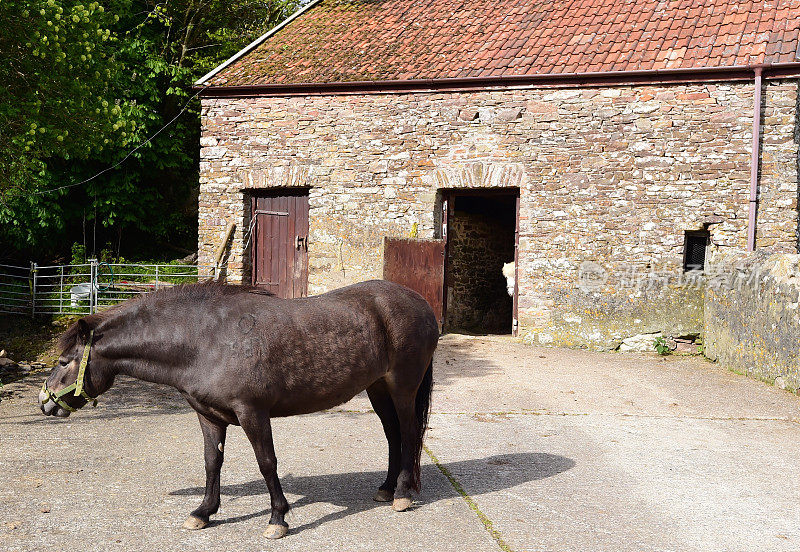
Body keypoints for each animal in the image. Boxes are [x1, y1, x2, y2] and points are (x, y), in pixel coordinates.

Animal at [39, 280, 438, 540]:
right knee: (393, 436)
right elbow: (211, 462)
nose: (44, 402)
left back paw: (402, 494)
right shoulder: (208, 415)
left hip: (402, 387)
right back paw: (385, 489)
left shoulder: (252, 413)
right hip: (377, 388)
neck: (203, 340)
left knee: (408, 433)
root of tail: (420, 302)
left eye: (63, 361)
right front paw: (203, 512)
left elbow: (267, 463)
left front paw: (277, 519)